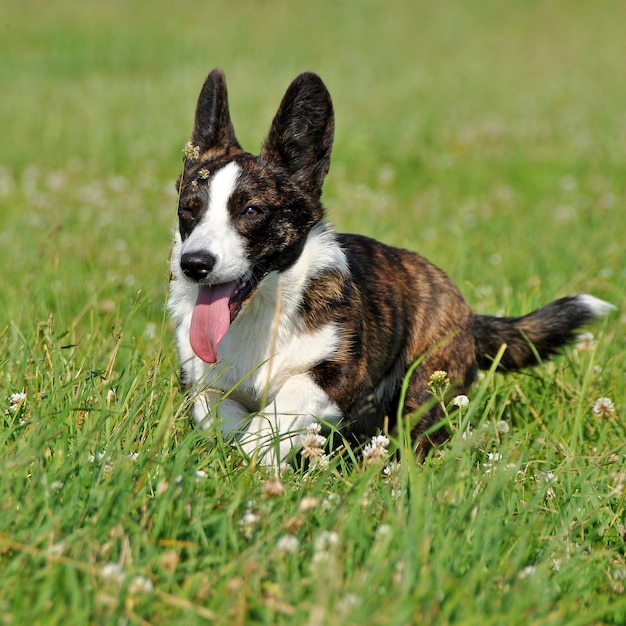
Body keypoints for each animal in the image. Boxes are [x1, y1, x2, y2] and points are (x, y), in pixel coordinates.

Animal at [167, 68, 616, 460]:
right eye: (189, 209)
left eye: (252, 210)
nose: (194, 265)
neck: (260, 313)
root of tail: (468, 314)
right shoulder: (203, 384)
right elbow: (219, 413)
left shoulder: (338, 378)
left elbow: (282, 406)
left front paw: (254, 456)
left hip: (424, 391)